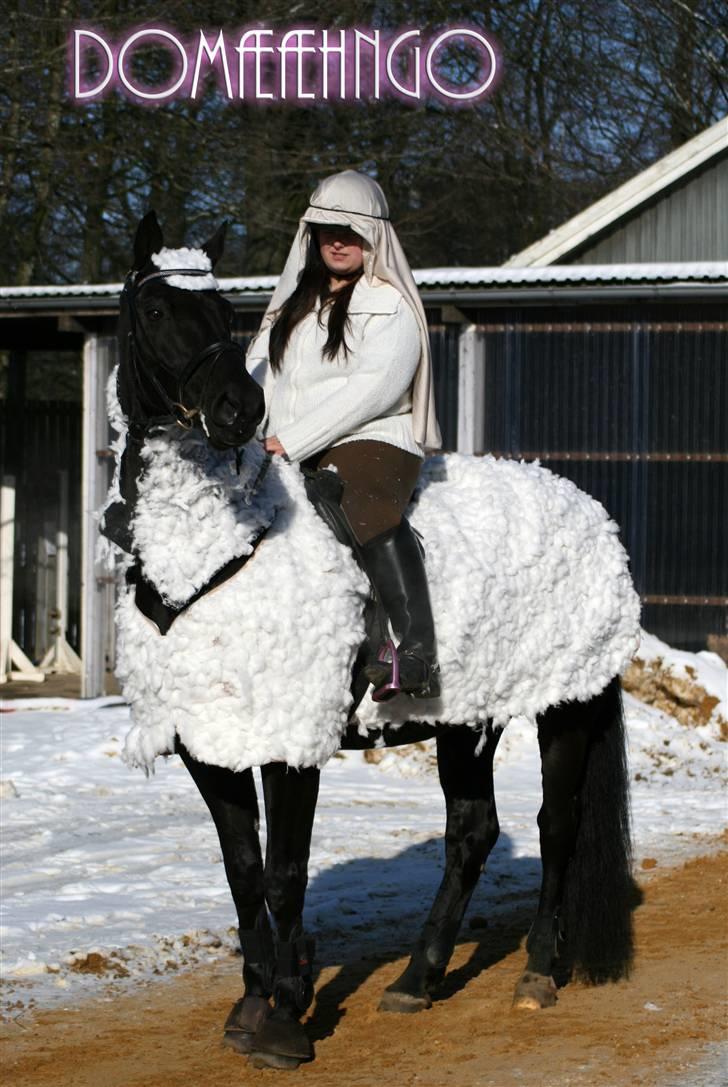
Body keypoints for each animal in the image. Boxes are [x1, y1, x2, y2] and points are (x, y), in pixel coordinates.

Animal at [104, 211, 638, 1069]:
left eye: (224, 311)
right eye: (156, 310)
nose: (238, 410)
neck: (212, 552)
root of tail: (591, 511)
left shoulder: (291, 739)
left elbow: (284, 872)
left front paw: (285, 1014)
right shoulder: (206, 743)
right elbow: (241, 872)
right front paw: (252, 1000)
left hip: (568, 703)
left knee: (556, 826)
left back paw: (536, 973)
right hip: (465, 719)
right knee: (471, 833)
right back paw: (418, 978)